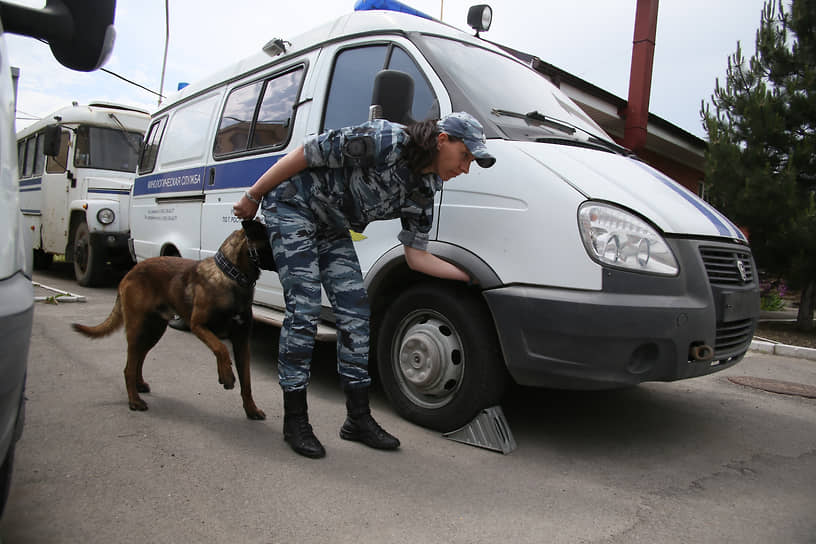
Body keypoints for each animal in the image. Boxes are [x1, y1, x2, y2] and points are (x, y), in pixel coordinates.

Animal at [71, 219, 274, 418]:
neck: (232, 276)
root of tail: (130, 272)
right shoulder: (198, 326)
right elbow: (221, 348)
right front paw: (226, 375)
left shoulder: (241, 342)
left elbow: (246, 382)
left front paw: (251, 409)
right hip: (138, 329)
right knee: (129, 367)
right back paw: (134, 401)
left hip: (154, 330)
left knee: (139, 358)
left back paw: (139, 385)